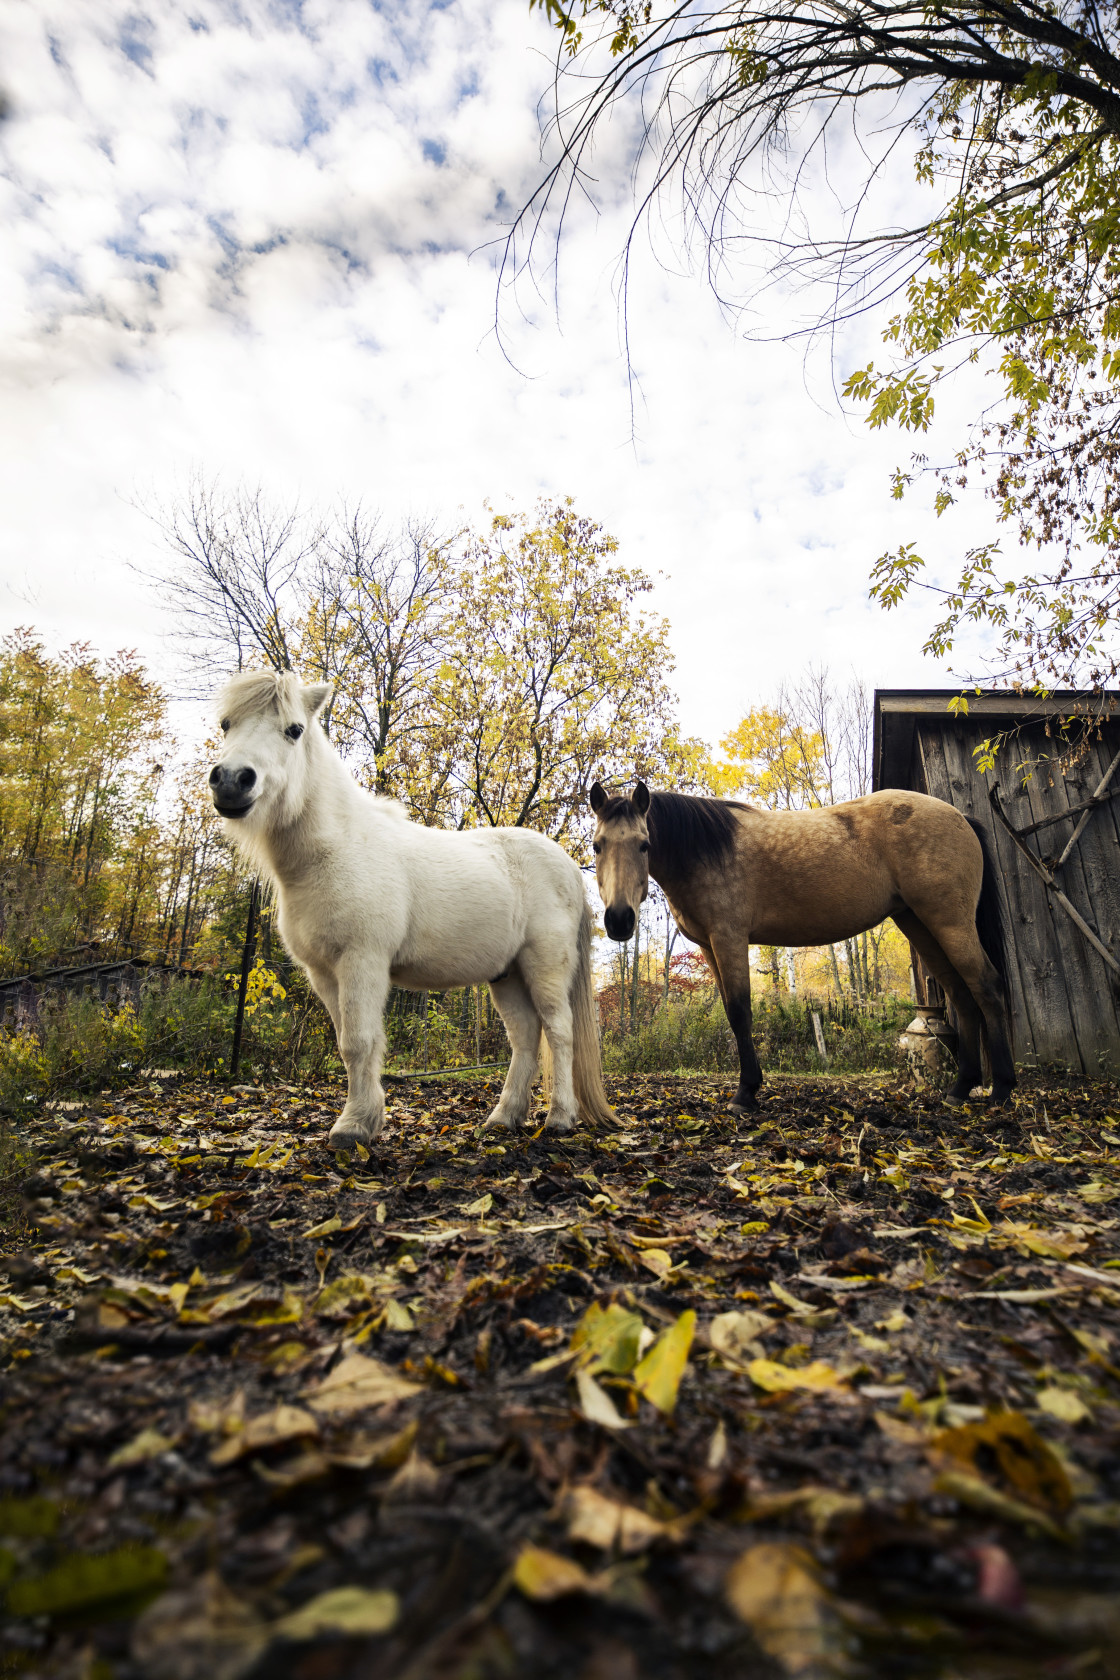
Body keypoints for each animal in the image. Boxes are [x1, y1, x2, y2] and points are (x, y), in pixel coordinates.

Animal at [205, 668, 617, 1142]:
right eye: (226, 724)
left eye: (294, 730)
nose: (232, 780)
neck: (335, 849)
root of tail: (567, 865)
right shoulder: (324, 974)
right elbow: (347, 1042)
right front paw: (365, 1118)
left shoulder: (362, 961)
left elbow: (359, 1042)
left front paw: (353, 1126)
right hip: (507, 975)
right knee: (526, 1037)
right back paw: (503, 1117)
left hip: (544, 968)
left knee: (559, 1032)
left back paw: (561, 1118)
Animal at [591, 782, 1020, 1115]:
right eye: (597, 846)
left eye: (644, 844)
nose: (619, 920)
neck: (706, 848)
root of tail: (960, 817)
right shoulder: (710, 947)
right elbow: (732, 1012)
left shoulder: (729, 939)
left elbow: (740, 1012)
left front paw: (746, 1093)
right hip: (920, 923)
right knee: (961, 994)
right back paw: (960, 1088)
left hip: (949, 922)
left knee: (987, 986)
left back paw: (1001, 1089)